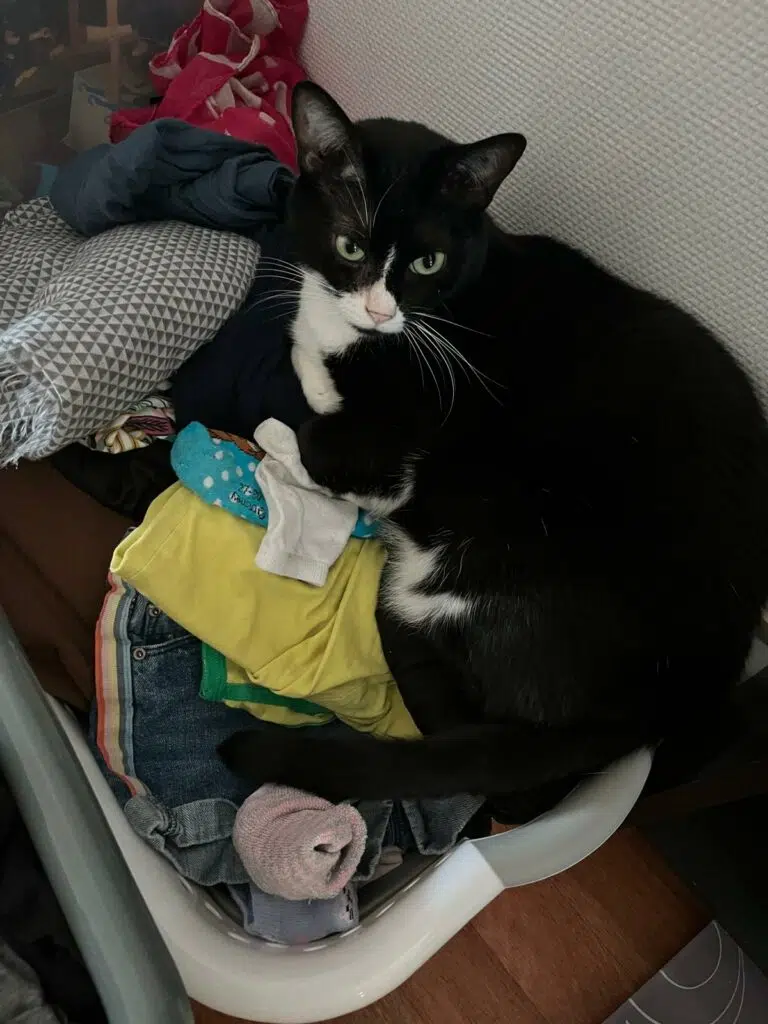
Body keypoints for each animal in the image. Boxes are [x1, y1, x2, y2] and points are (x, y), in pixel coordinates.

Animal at [219, 82, 768, 804]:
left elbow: (316, 425)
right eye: (349, 246)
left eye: (428, 261)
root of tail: (657, 705)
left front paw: (283, 441)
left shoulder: (393, 438)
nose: (378, 311)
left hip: (469, 575)